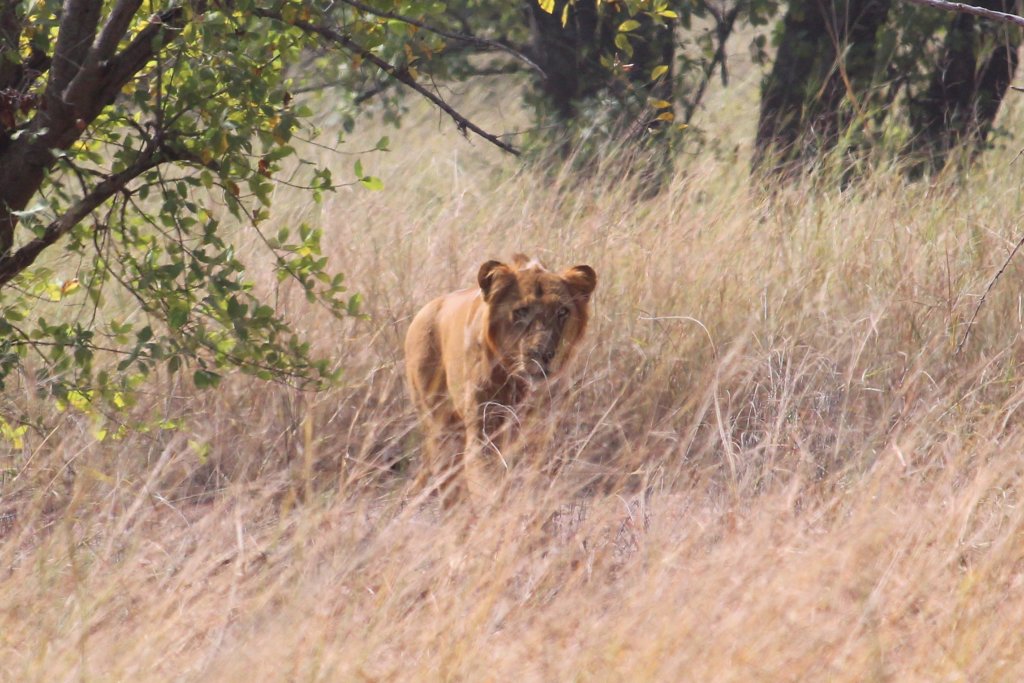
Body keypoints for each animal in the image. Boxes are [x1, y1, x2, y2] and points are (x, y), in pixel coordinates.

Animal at [403, 253, 598, 505]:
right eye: (522, 311)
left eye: (562, 312)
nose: (543, 353)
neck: (520, 384)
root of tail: (428, 307)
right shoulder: (484, 432)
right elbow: (487, 483)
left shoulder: (544, 434)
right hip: (439, 421)